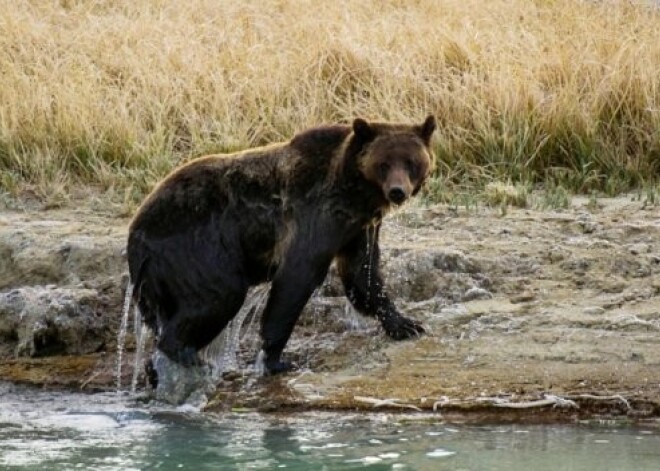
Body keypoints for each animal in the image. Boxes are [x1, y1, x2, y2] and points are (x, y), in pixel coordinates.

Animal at [129, 115, 438, 376]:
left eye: (410, 162)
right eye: (384, 163)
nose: (397, 191)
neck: (353, 194)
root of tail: (135, 232)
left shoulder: (357, 229)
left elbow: (363, 275)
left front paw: (406, 324)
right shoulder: (313, 215)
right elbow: (297, 276)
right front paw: (276, 359)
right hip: (194, 246)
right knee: (219, 294)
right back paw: (187, 354)